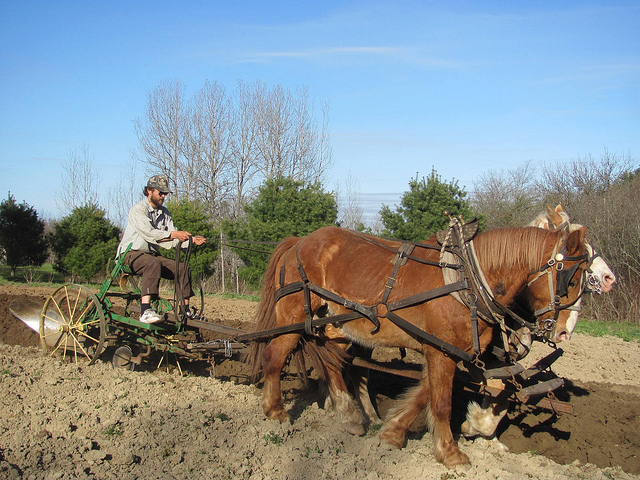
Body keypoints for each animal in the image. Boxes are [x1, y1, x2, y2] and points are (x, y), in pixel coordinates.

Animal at [246, 224, 592, 464]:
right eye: (573, 279)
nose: (562, 333)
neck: (467, 283)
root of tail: (298, 241)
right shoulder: (442, 350)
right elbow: (440, 402)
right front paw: (451, 454)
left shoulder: (445, 349)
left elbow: (427, 393)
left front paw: (393, 432)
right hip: (294, 317)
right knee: (275, 355)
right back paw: (276, 412)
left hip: (334, 326)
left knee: (333, 364)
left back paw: (350, 416)